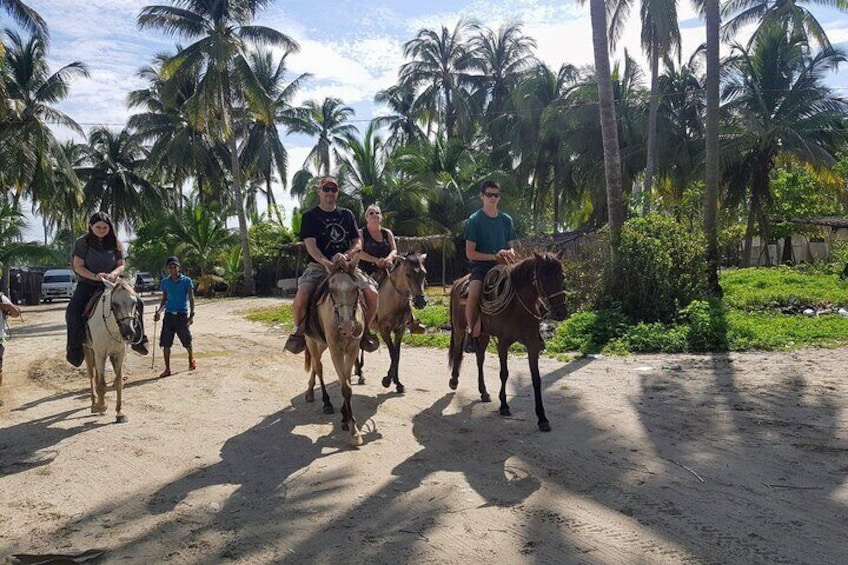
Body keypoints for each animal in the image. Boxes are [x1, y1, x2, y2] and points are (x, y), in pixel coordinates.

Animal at [84, 278, 144, 424]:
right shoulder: (100, 354)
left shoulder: (119, 354)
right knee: (91, 375)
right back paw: (94, 404)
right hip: (88, 350)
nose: (129, 332)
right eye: (115, 304)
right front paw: (101, 406)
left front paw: (120, 413)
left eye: (134, 303)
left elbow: (118, 382)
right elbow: (101, 384)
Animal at [304, 260, 364, 446]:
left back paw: (310, 392)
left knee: (315, 365)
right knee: (318, 366)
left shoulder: (352, 349)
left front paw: (347, 421)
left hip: (323, 345)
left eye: (356, 288)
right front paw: (353, 431)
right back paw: (326, 402)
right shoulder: (336, 351)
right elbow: (345, 387)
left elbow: (348, 384)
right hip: (312, 342)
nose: (347, 327)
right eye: (331, 290)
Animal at [448, 249, 568, 430]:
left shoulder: (532, 344)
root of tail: (457, 283)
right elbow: (504, 373)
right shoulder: (503, 343)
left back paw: (484, 392)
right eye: (544, 277)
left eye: (562, 276)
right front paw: (504, 405)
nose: (560, 313)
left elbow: (536, 378)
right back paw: (454, 381)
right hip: (460, 329)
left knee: (480, 359)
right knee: (457, 352)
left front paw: (542, 417)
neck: (518, 306)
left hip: (483, 334)